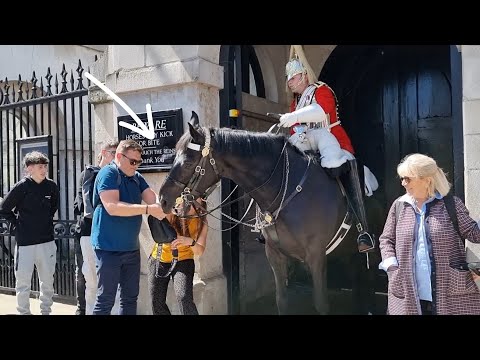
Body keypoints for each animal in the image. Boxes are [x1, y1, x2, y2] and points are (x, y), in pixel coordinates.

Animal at [159, 113, 380, 316]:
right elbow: (281, 300)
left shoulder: (316, 255)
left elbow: (321, 304)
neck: (288, 189)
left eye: (188, 162)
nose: (163, 200)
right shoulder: (275, 254)